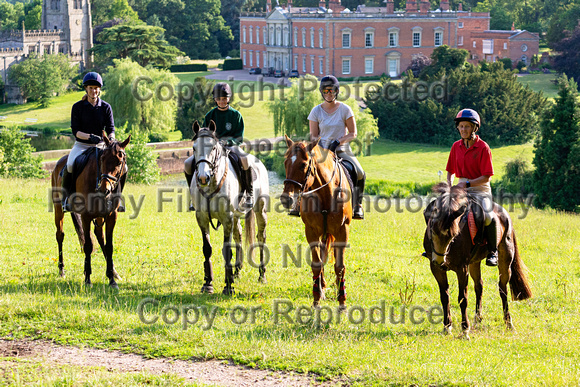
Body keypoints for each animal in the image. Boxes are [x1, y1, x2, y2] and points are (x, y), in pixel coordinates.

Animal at [51, 135, 130, 290]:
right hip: (58, 209)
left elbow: (109, 246)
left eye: (119, 162)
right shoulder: (86, 216)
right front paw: (88, 279)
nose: (105, 189)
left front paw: (112, 280)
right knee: (60, 235)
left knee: (99, 236)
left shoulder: (111, 216)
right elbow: (88, 246)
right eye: (102, 159)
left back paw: (114, 272)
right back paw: (61, 270)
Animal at [193, 119, 270, 296]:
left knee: (261, 237)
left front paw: (228, 286)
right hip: (236, 217)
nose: (203, 178)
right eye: (194, 148)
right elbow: (207, 249)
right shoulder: (202, 219)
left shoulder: (226, 218)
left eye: (213, 148)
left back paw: (261, 275)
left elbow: (227, 249)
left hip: (260, 210)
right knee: (239, 236)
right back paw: (237, 272)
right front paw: (208, 283)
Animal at [278, 135, 352, 310]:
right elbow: (317, 263)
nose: (286, 199)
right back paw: (322, 287)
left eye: (303, 164)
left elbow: (340, 266)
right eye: (285, 163)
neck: (326, 194)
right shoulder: (311, 231)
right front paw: (317, 299)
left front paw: (342, 302)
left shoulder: (342, 231)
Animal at [424, 183, 532, 338]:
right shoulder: (436, 269)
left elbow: (462, 299)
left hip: (505, 261)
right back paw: (478, 319)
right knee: (479, 286)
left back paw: (508, 323)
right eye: (432, 230)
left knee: (503, 289)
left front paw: (465, 330)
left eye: (454, 235)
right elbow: (445, 297)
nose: (440, 260)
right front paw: (447, 327)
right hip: (474, 263)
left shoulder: (462, 269)